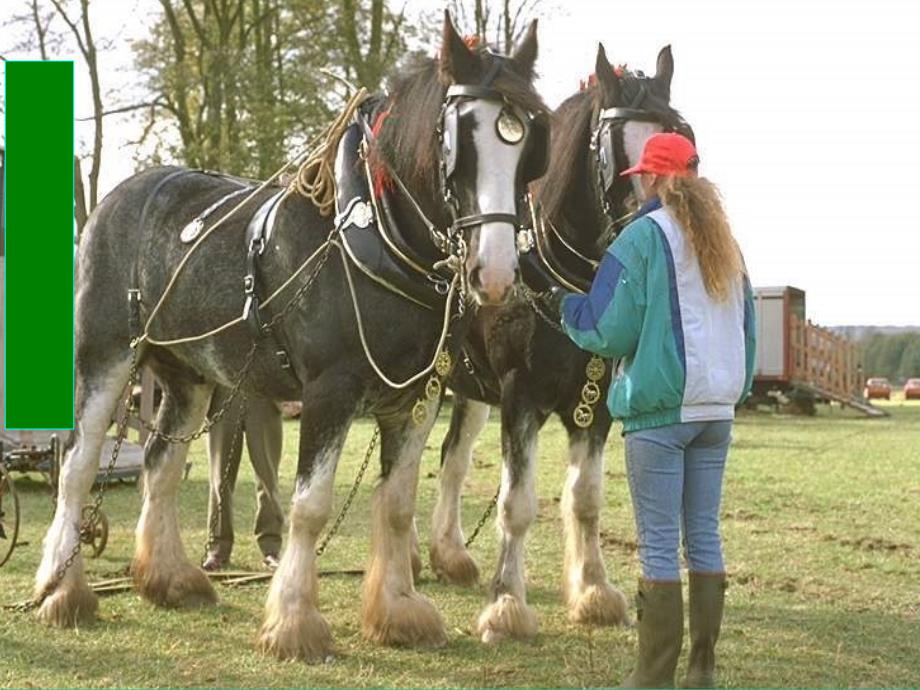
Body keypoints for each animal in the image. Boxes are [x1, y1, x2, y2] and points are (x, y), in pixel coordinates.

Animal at [428, 45, 692, 644]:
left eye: (680, 137)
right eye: (615, 152)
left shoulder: (595, 405)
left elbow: (586, 498)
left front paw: (593, 591)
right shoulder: (519, 396)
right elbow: (517, 503)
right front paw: (506, 605)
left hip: (470, 391)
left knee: (453, 459)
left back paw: (447, 553)